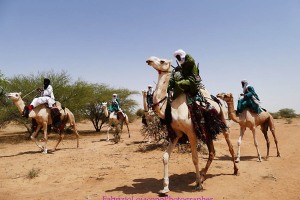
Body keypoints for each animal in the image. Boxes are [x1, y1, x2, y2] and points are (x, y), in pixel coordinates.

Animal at [146, 56, 239, 194]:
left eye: (162, 61)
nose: (149, 60)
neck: (170, 108)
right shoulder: (176, 134)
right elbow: (165, 157)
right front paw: (165, 188)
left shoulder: (191, 133)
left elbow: (195, 158)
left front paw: (198, 185)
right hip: (207, 130)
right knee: (212, 152)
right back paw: (203, 175)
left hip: (223, 123)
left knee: (230, 147)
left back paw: (235, 170)